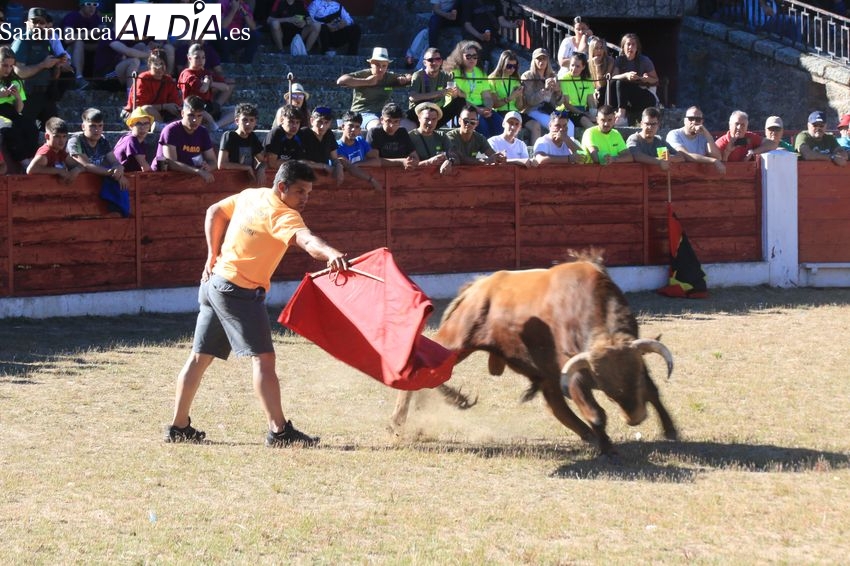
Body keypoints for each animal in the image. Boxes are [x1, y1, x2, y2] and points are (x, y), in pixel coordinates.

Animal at [390, 253, 676, 458]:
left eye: (633, 377)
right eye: (606, 386)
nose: (635, 417)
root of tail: (476, 287)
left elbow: (653, 391)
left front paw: (671, 431)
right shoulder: (572, 372)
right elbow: (596, 413)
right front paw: (608, 448)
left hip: (540, 372)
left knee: (556, 406)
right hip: (455, 341)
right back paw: (401, 421)